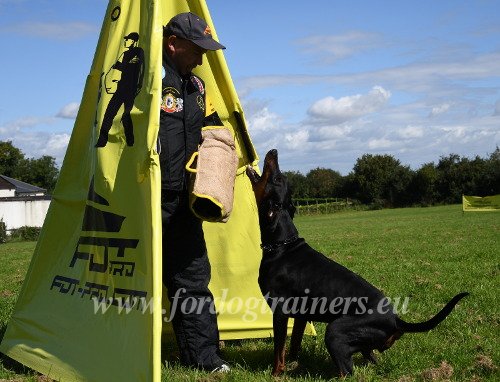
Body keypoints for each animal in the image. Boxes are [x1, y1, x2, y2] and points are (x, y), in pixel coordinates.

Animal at [246, 148, 468, 376]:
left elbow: (279, 350)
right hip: (361, 344)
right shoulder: (300, 315)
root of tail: (396, 320)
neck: (283, 245)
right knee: (369, 358)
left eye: (277, 178)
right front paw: (293, 365)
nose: (274, 151)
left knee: (347, 371)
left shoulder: (280, 313)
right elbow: (293, 346)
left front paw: (276, 374)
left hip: (335, 332)